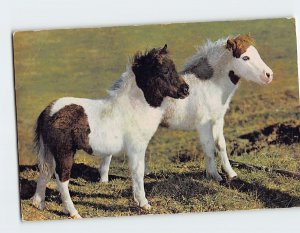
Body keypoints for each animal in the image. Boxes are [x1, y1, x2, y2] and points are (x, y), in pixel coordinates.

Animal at [31, 45, 190, 218]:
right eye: (165, 71)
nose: (186, 90)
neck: (134, 107)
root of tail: (48, 112)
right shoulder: (136, 148)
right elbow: (138, 172)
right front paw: (143, 203)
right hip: (64, 152)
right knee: (62, 178)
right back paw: (73, 212)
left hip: (50, 151)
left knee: (45, 172)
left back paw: (39, 204)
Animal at [99, 34, 274, 182]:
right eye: (245, 57)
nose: (269, 75)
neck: (211, 86)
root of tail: (120, 85)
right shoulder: (203, 124)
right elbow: (209, 147)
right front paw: (215, 176)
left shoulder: (218, 120)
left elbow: (220, 145)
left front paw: (231, 174)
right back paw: (104, 179)